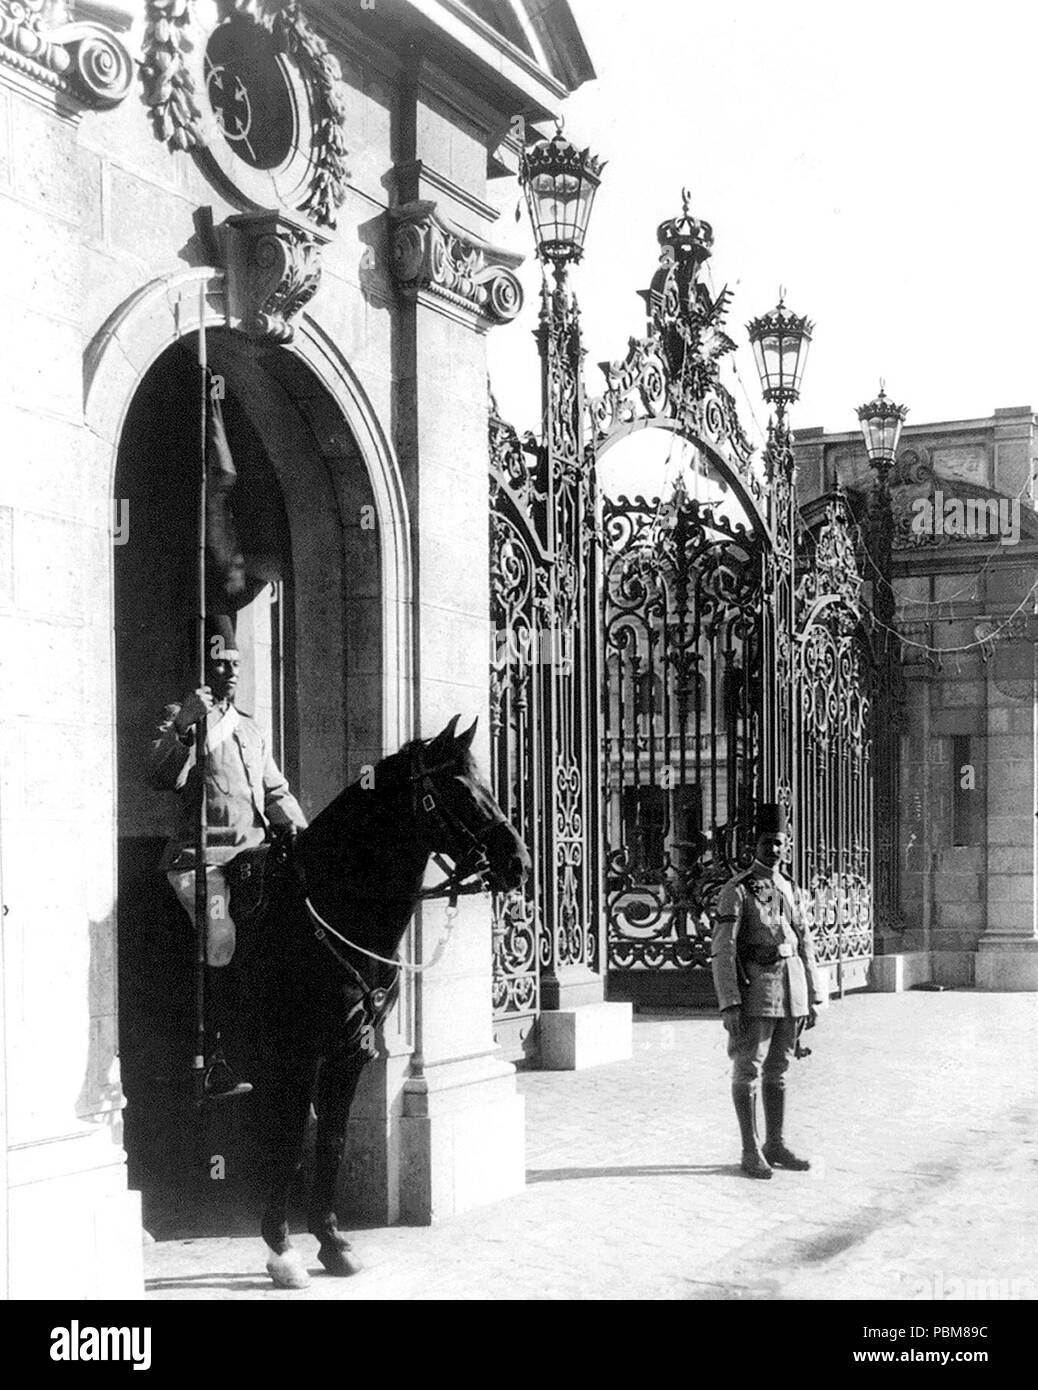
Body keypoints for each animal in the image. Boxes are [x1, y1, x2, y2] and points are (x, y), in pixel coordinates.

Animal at [243, 717, 528, 1289]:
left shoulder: (349, 1051)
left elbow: (330, 1141)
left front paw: (331, 1242)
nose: (519, 862)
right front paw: (281, 1248)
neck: (332, 909)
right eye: (460, 789)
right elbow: (290, 1143)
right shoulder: (296, 1054)